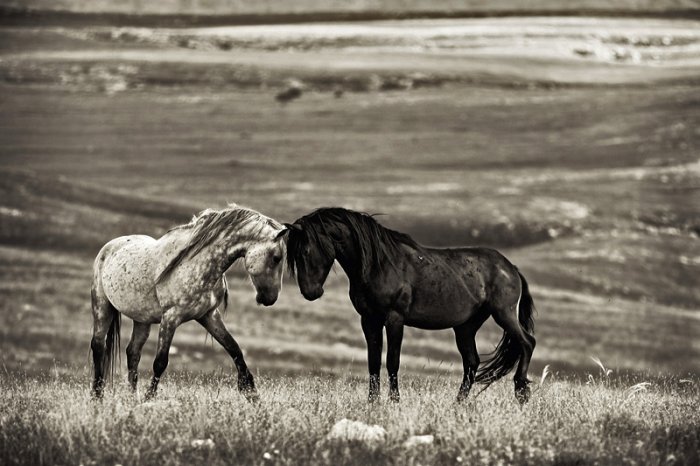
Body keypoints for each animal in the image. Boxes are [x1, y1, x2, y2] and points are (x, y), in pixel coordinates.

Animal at [90, 203, 288, 400]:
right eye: (276, 258)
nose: (271, 298)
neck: (196, 263)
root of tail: (109, 247)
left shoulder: (209, 315)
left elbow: (235, 349)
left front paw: (252, 393)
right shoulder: (171, 318)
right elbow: (160, 362)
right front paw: (149, 398)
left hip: (142, 319)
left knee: (133, 352)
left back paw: (133, 398)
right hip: (102, 307)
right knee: (98, 346)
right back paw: (97, 397)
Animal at [284, 208, 536, 404]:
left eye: (306, 251)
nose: (310, 293)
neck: (379, 265)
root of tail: (510, 268)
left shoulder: (395, 319)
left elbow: (392, 361)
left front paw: (395, 401)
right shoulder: (369, 320)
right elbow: (373, 362)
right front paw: (372, 402)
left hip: (503, 314)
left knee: (527, 343)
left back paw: (521, 392)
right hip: (466, 327)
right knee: (472, 362)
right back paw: (458, 404)